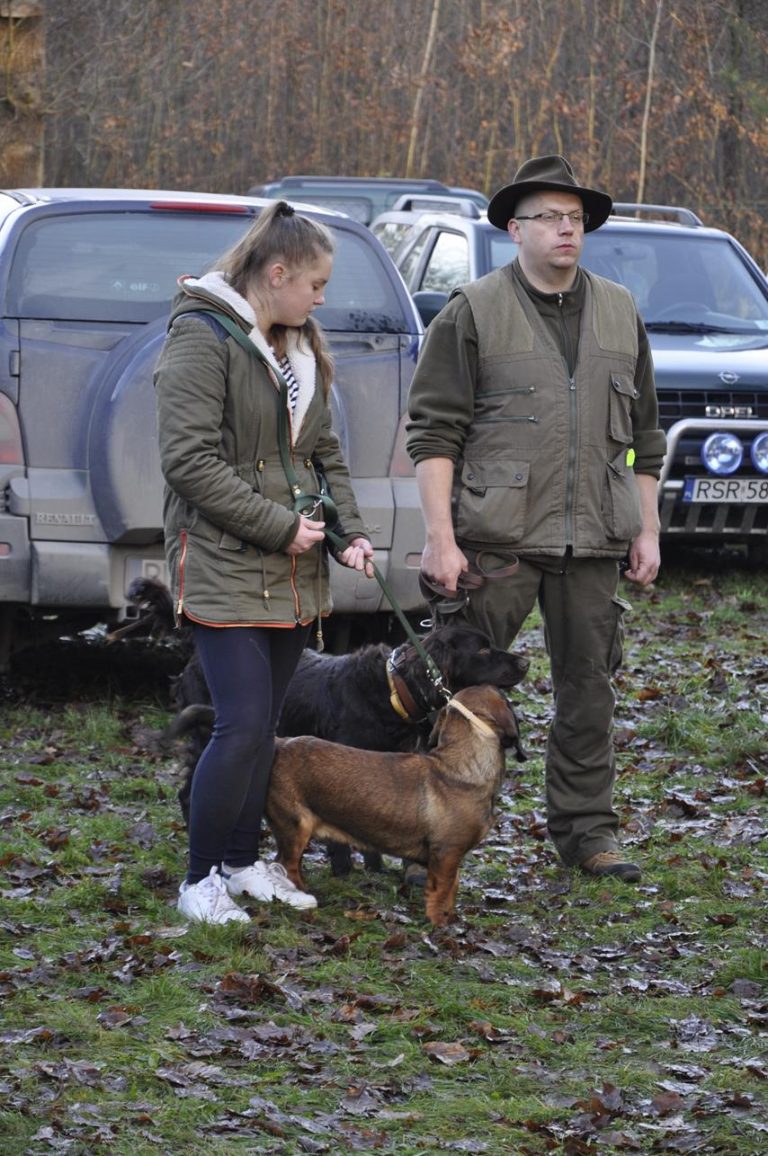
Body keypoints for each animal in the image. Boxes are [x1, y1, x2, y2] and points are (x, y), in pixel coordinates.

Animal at [266, 679, 527, 924]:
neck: (459, 768)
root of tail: (280, 745)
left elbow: (453, 886)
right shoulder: (446, 853)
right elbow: (442, 890)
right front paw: (440, 923)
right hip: (296, 828)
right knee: (287, 866)